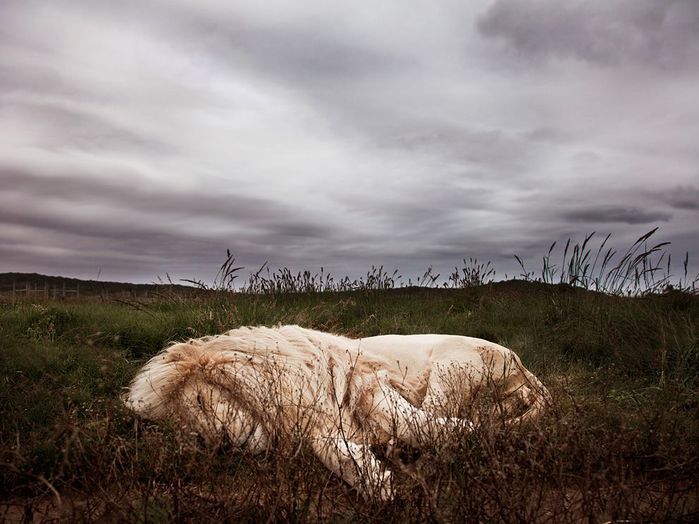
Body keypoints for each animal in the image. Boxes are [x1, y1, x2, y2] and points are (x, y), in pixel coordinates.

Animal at [127, 324, 552, 500]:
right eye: (187, 430)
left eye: (198, 402)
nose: (218, 446)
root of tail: (522, 366)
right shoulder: (320, 418)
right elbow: (338, 453)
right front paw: (378, 483)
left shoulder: (367, 381)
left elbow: (411, 421)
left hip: (450, 367)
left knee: (435, 414)